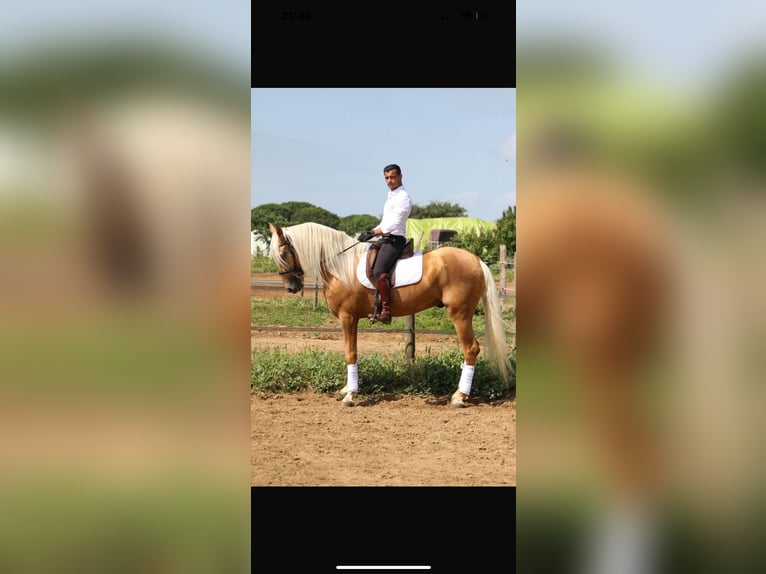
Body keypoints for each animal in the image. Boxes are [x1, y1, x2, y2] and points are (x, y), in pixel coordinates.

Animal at [267, 222, 513, 407]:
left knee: (470, 348)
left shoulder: (348, 317)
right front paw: (347, 389)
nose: (291, 287)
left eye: (283, 253)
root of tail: (475, 260)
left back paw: (459, 397)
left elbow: (350, 353)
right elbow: (351, 352)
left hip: (460, 313)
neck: (340, 266)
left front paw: (351, 395)